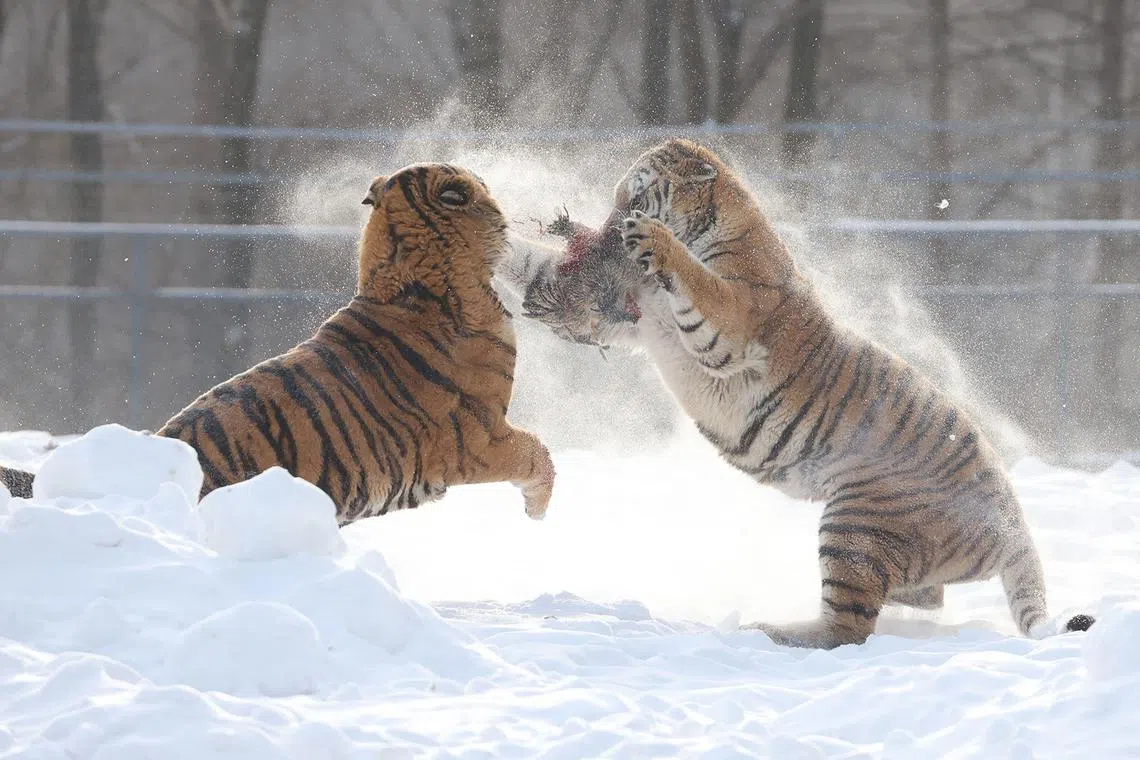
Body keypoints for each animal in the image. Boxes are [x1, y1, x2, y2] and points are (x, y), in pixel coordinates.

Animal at [499, 138, 1094, 648]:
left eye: (636, 197)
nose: (610, 226)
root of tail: (1013, 519)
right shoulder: (629, 315)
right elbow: (527, 260)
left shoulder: (732, 324)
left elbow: (702, 283)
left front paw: (653, 239)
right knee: (923, 597)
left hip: (855, 524)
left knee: (848, 629)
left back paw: (769, 630)